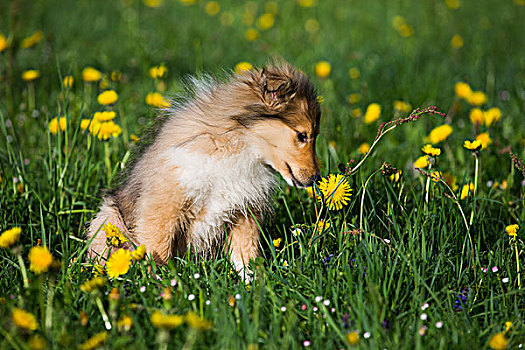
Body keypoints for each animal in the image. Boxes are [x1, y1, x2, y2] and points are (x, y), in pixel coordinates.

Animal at [87, 60, 320, 278]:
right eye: (302, 135)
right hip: (110, 219)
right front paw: (162, 281)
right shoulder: (163, 205)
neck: (238, 148)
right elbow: (158, 246)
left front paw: (253, 282)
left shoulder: (244, 210)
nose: (316, 179)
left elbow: (246, 253)